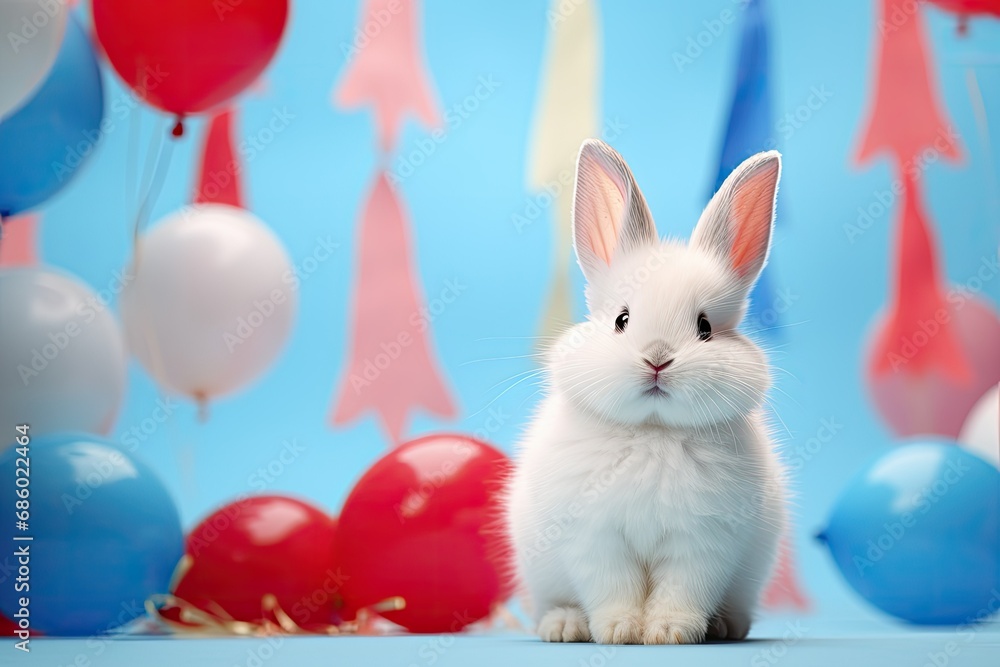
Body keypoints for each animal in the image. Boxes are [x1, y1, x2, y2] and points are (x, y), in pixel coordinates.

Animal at [506, 139, 787, 645]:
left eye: (705, 327)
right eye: (622, 319)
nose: (657, 359)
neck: (653, 432)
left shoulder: (702, 543)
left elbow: (682, 589)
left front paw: (668, 632)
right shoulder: (595, 538)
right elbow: (612, 586)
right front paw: (619, 630)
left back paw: (726, 625)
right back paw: (565, 626)